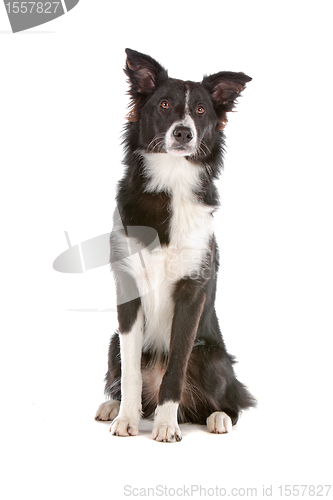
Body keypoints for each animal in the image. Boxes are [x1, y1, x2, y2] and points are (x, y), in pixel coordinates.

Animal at [94, 48, 255, 444]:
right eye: (164, 104)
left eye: (200, 110)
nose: (183, 132)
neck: (171, 178)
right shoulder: (128, 288)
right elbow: (132, 371)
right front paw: (127, 419)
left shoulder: (190, 293)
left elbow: (176, 368)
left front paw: (167, 426)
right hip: (111, 341)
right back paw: (113, 406)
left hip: (212, 356)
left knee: (231, 401)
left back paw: (217, 417)